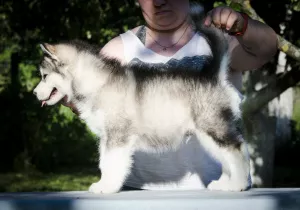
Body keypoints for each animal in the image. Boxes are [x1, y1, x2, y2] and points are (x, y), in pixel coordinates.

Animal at [33, 5, 251, 194]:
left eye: (44, 76)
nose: (34, 93)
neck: (97, 82)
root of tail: (212, 75)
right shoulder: (106, 136)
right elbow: (104, 162)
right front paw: (103, 183)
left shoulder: (117, 136)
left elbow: (111, 162)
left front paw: (107, 187)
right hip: (209, 133)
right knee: (227, 157)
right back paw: (224, 183)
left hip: (212, 126)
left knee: (237, 150)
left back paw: (237, 184)